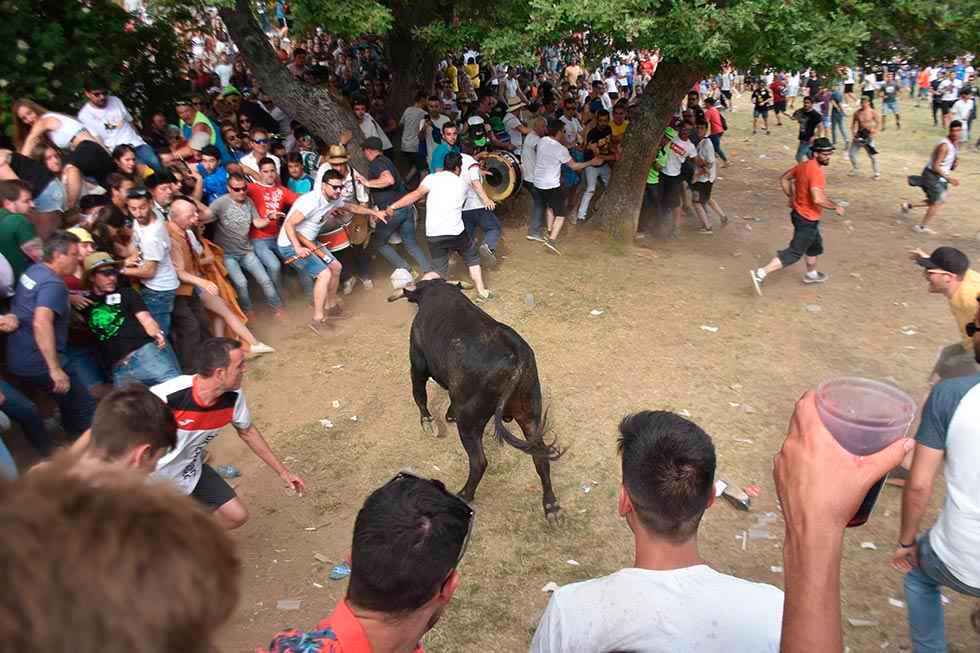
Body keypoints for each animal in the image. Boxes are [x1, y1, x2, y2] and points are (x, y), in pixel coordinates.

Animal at [388, 278, 564, 520]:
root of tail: (517, 357)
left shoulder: (417, 364)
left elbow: (419, 394)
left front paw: (428, 423)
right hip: (530, 413)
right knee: (540, 458)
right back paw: (551, 506)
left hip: (470, 422)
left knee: (479, 461)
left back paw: (464, 494)